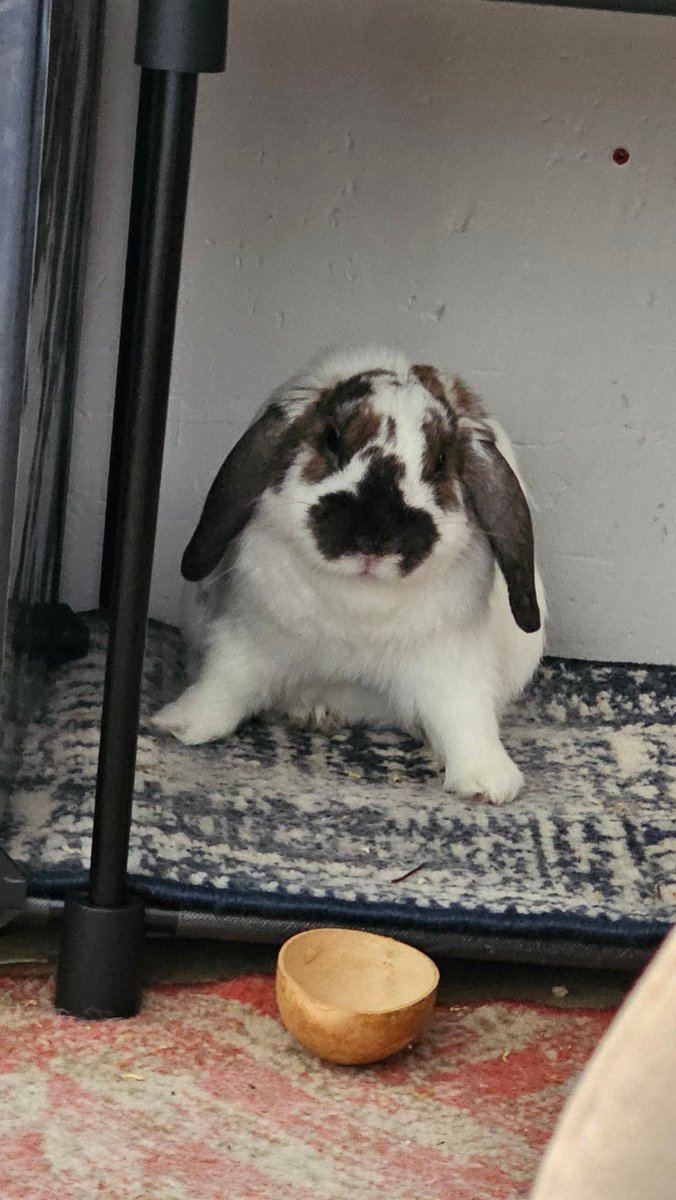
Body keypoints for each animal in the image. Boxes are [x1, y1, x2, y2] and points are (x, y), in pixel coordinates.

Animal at [153, 346, 545, 804]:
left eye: (441, 461)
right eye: (332, 439)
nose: (374, 536)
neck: (361, 600)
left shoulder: (451, 660)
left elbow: (464, 717)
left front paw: (488, 783)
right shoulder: (248, 637)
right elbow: (223, 685)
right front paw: (179, 723)